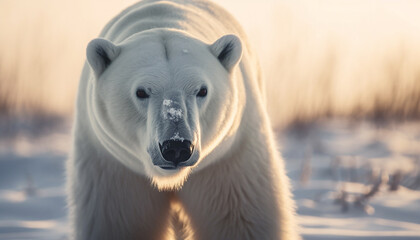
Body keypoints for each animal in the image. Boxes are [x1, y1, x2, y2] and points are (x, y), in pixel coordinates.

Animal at [66, 0, 298, 239]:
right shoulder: (113, 166)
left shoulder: (228, 159)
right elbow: (120, 221)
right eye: (141, 92)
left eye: (202, 90)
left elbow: (237, 221)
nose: (176, 147)